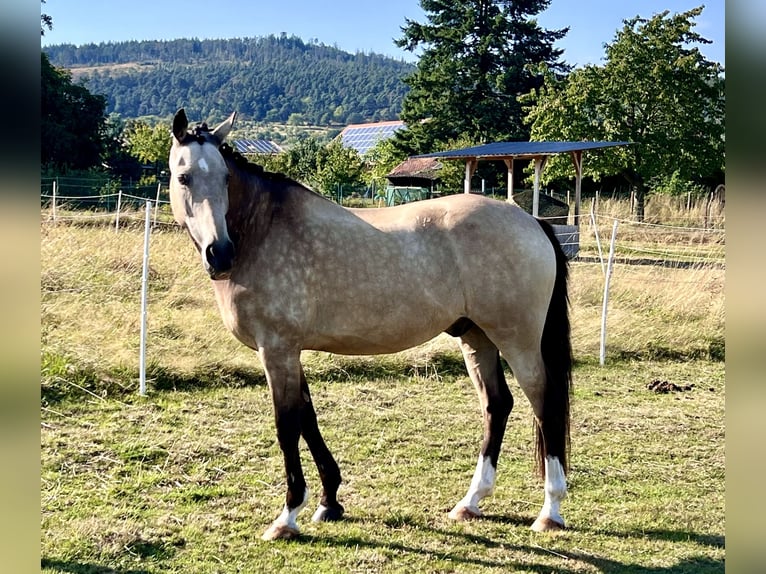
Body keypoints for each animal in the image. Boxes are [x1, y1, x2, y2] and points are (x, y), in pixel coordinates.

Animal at [170, 109, 576, 544]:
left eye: (224, 178)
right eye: (184, 177)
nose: (219, 254)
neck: (262, 229)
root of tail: (532, 221)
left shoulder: (276, 349)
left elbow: (287, 426)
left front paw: (288, 515)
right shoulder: (291, 351)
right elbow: (308, 418)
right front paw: (329, 501)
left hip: (518, 341)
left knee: (545, 404)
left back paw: (550, 511)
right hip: (476, 336)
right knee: (497, 405)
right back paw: (470, 502)